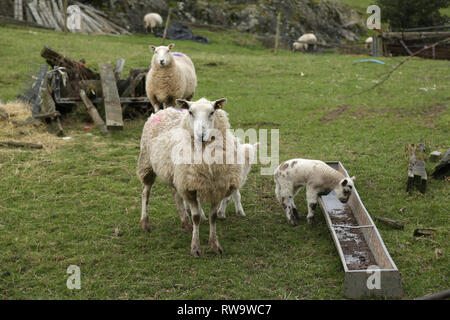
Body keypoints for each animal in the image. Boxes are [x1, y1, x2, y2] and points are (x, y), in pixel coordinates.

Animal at [137, 97, 243, 258]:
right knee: (145, 193)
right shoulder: (190, 188)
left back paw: (185, 222)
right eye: (191, 112)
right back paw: (145, 223)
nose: (201, 135)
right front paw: (195, 248)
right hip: (147, 163)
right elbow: (197, 217)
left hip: (176, 174)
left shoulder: (217, 187)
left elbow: (213, 217)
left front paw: (215, 245)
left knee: (176, 195)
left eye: (212, 112)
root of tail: (164, 110)